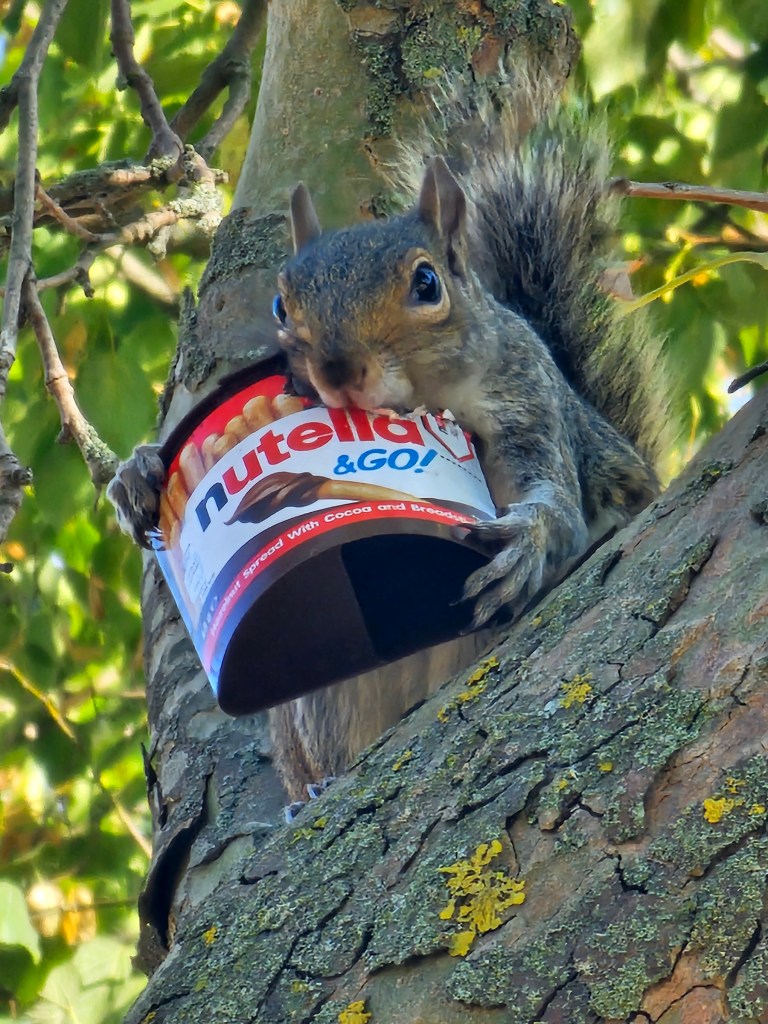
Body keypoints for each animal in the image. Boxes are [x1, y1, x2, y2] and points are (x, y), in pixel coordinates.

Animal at [109, 72, 672, 804]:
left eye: (427, 283)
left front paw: (526, 542)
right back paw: (317, 789)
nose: (337, 369)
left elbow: (558, 506)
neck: (429, 401)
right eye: (282, 303)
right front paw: (140, 475)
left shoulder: (530, 402)